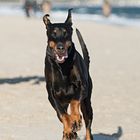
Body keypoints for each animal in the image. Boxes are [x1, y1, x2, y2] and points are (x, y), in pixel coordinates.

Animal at [42, 9, 93, 140]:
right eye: (54, 33)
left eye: (66, 33)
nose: (60, 47)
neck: (62, 66)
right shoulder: (52, 94)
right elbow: (62, 114)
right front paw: (69, 129)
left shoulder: (81, 86)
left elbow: (75, 102)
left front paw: (76, 119)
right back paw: (68, 132)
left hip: (87, 103)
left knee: (88, 127)